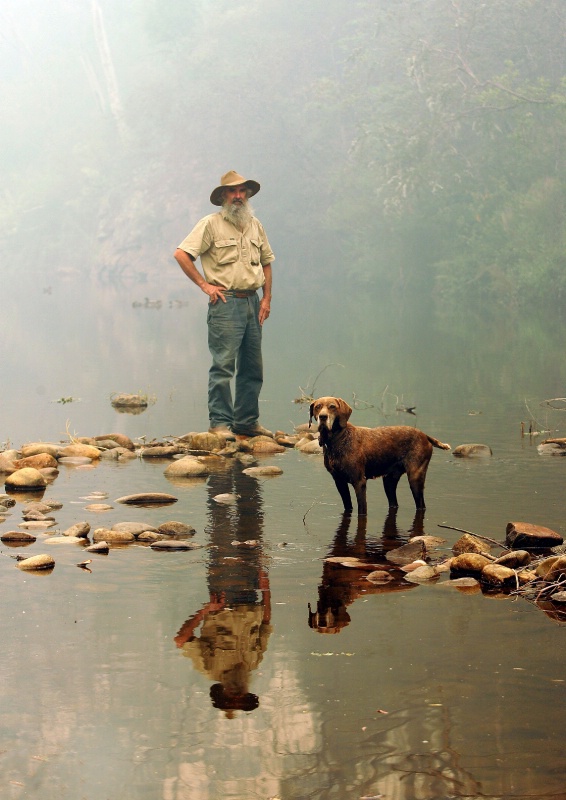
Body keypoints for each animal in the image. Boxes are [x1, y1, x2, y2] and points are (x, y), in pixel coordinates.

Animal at [310, 396, 452, 516]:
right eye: (318, 406)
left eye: (332, 406)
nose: (323, 417)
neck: (337, 440)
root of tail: (425, 436)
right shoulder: (339, 482)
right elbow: (348, 506)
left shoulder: (359, 482)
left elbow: (362, 510)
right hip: (389, 481)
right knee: (394, 504)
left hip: (415, 478)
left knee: (421, 505)